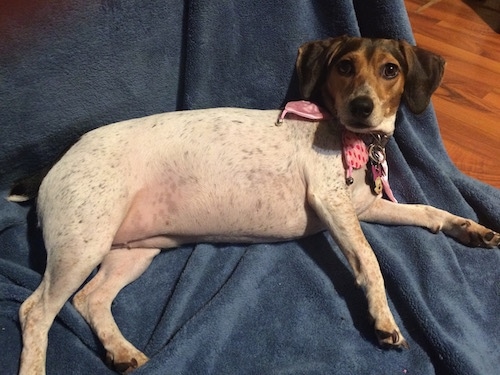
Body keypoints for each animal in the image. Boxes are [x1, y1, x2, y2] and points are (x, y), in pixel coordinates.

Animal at [11, 34, 500, 374]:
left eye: (390, 70)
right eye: (344, 66)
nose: (362, 107)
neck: (353, 139)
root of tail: (56, 162)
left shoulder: (363, 208)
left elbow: (428, 211)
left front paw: (469, 228)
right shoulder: (332, 203)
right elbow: (370, 260)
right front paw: (383, 318)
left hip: (134, 252)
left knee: (89, 300)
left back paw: (122, 351)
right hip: (83, 245)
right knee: (35, 312)